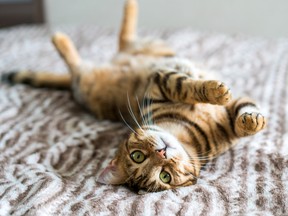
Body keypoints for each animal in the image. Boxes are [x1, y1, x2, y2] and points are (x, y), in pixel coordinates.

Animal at [2, 0, 268, 192]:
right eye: (163, 175)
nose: (162, 154)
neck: (184, 134)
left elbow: (242, 111)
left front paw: (250, 120)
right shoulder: (159, 83)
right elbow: (184, 85)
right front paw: (216, 91)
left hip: (150, 48)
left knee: (124, 40)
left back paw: (127, 6)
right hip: (87, 83)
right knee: (78, 66)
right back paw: (60, 38)